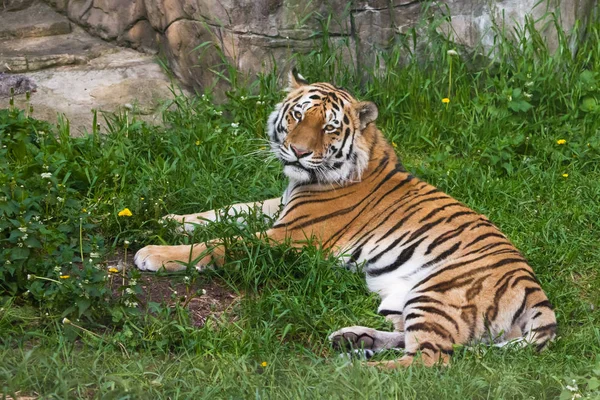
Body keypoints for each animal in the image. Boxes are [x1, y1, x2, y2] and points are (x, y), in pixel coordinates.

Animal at [134, 69, 556, 368]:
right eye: (297, 116)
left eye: (329, 127)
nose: (298, 152)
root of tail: (539, 295)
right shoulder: (280, 208)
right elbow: (227, 210)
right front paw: (170, 218)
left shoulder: (292, 235)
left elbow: (220, 244)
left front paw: (154, 253)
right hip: (400, 299)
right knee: (411, 340)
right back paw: (353, 341)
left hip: (436, 291)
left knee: (430, 360)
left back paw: (349, 369)